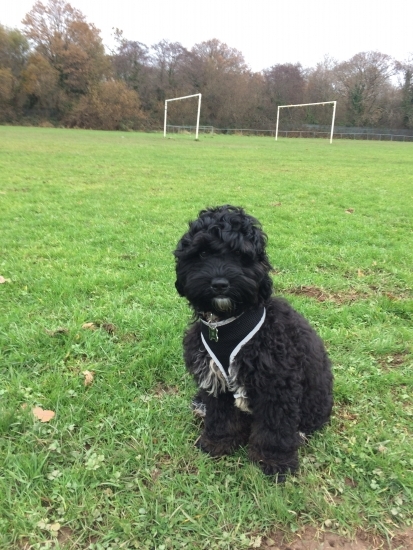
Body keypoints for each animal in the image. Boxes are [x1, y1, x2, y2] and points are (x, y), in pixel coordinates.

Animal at [172, 205, 334, 480]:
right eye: (202, 253)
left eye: (239, 255)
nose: (220, 284)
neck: (226, 324)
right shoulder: (215, 381)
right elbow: (221, 417)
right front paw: (217, 443)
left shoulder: (276, 384)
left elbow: (274, 429)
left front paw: (274, 462)